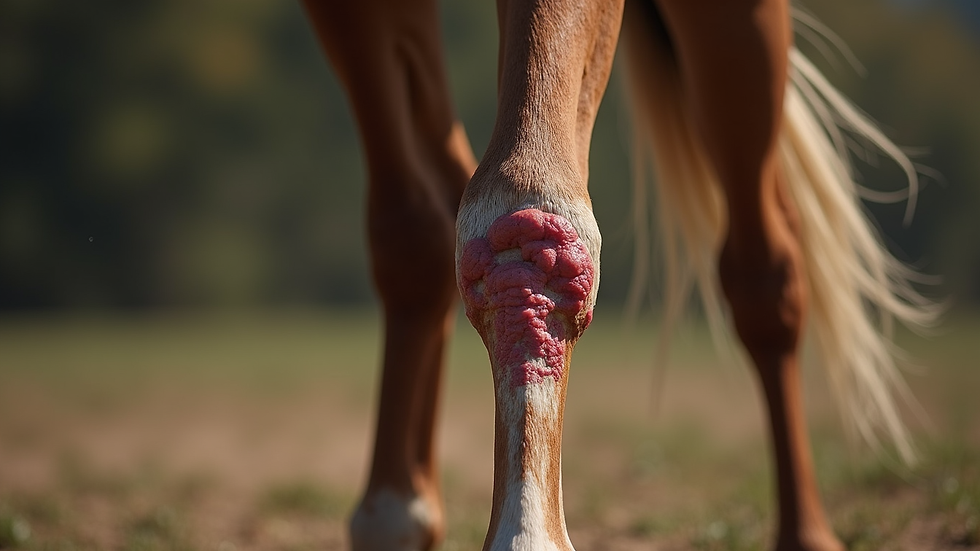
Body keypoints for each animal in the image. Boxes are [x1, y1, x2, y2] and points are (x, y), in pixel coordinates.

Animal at [301, 0, 936, 549]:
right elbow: (415, 230)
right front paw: (396, 517)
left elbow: (534, 197)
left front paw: (527, 536)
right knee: (433, 204)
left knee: (765, 269)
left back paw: (806, 535)